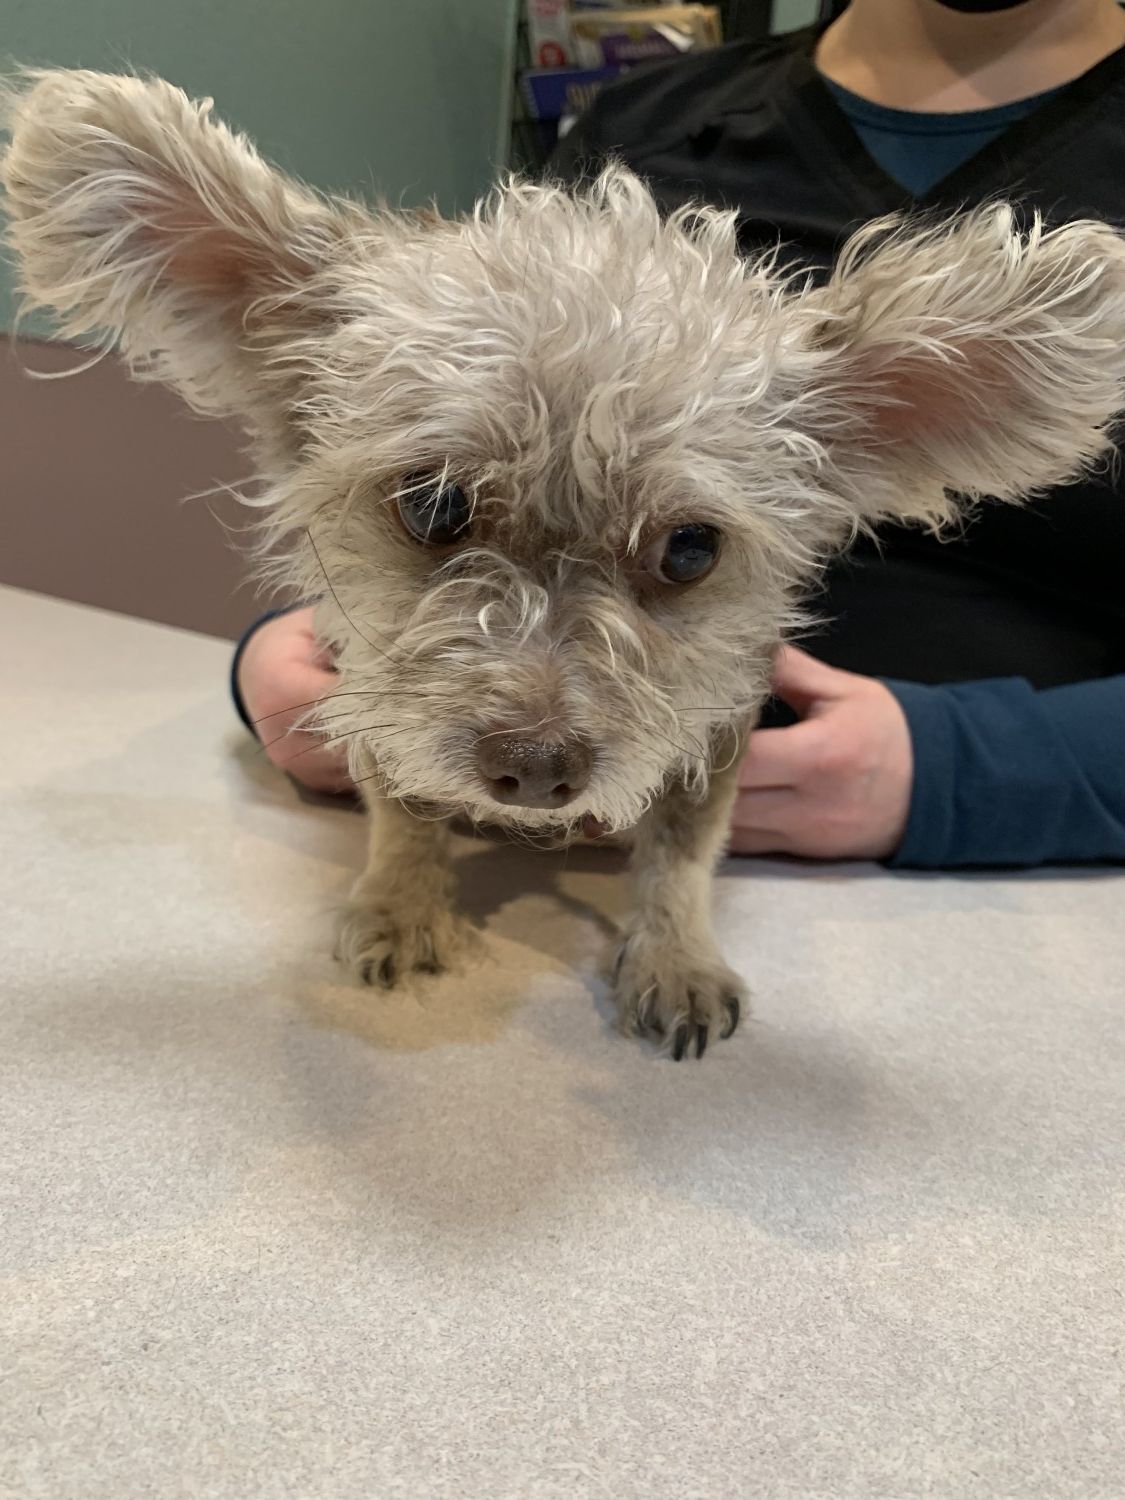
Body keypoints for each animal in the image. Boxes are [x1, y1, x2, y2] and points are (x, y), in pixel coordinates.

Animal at [4, 67, 1122, 1056]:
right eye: (433, 504)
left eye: (690, 548)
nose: (534, 769)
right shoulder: (377, 690)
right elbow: (401, 812)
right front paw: (399, 904)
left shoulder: (721, 725)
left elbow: (681, 856)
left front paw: (674, 958)